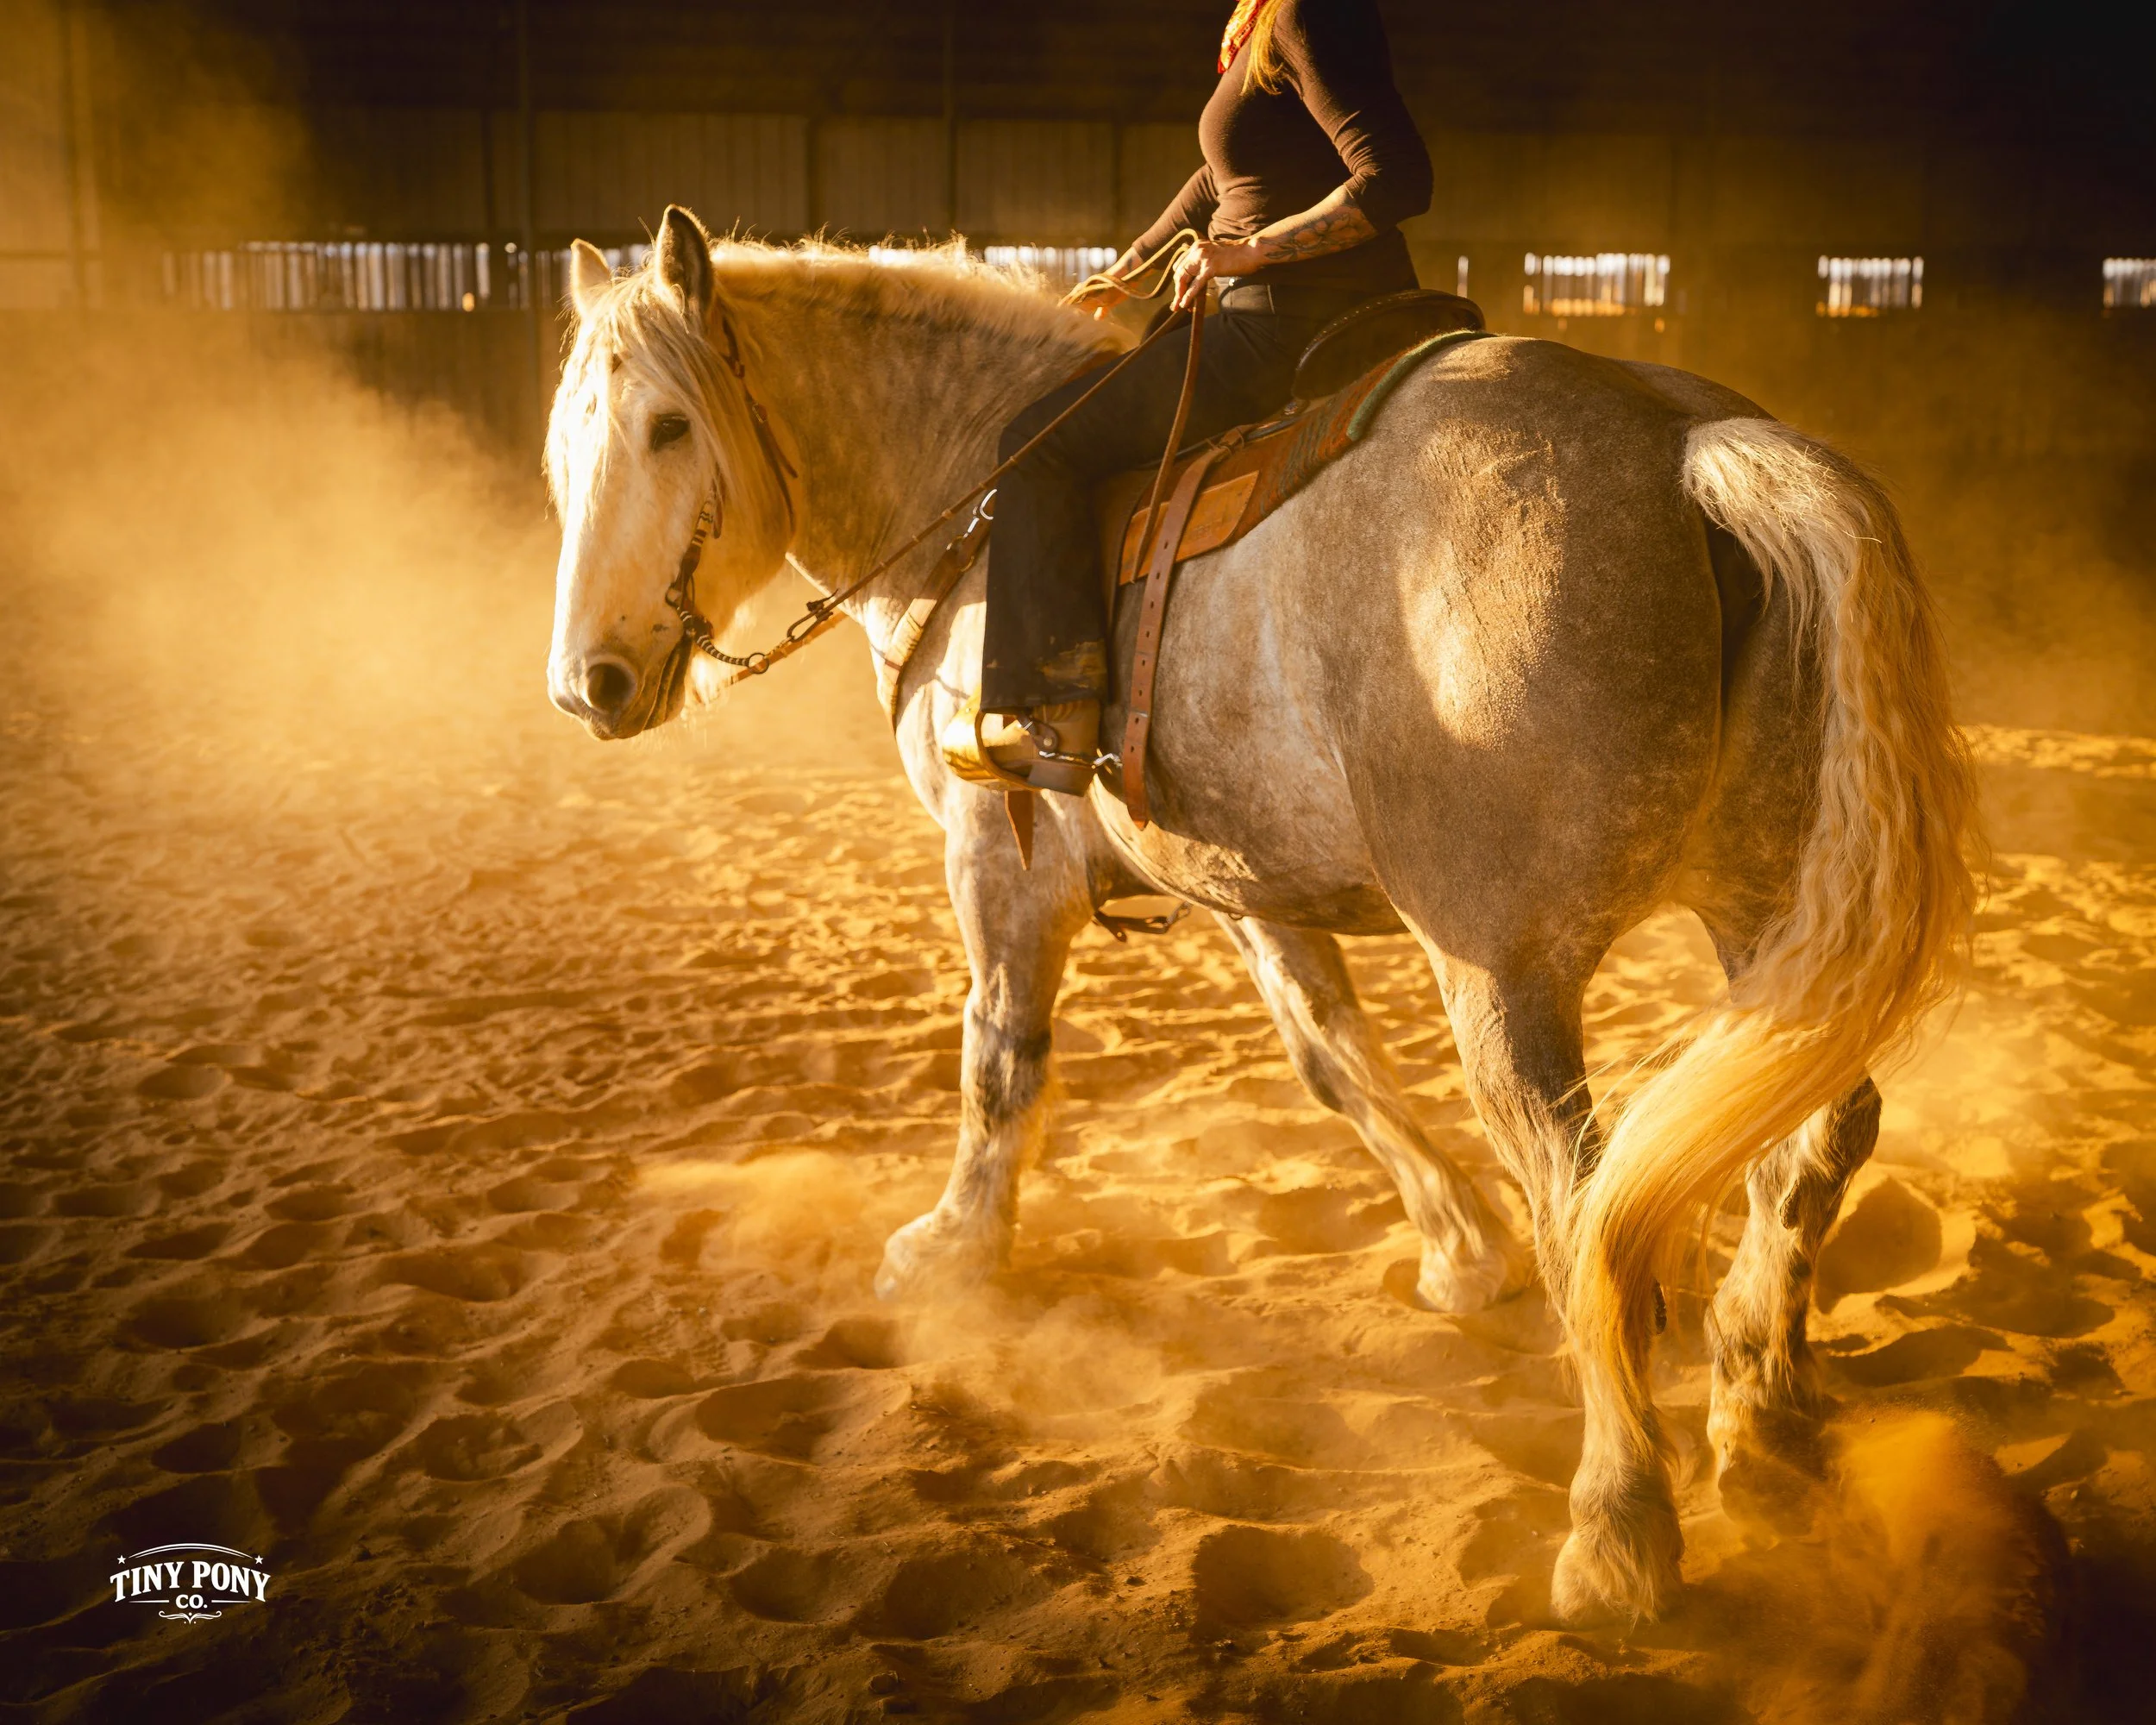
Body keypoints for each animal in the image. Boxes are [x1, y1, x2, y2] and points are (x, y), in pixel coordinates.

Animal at [542, 205, 1976, 1626]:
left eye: (667, 426)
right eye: (566, 452)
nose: (587, 685)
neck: (968, 503)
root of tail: (1685, 447)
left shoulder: (996, 864)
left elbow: (1000, 1062)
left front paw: (952, 1252)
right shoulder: (1237, 880)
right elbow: (1329, 1054)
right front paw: (1459, 1248)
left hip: (1507, 972)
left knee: (1596, 1203)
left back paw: (1616, 1534)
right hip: (1767, 908)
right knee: (1816, 1134)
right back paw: (1762, 1410)